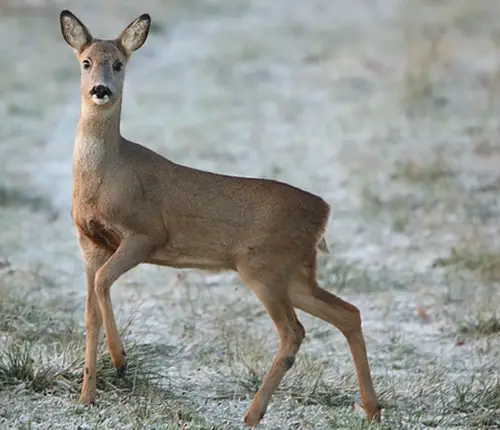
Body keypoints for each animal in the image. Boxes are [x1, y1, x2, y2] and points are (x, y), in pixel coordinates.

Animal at [58, 10, 378, 426]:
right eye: (85, 62)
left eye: (118, 64)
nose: (101, 90)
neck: (106, 173)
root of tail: (323, 212)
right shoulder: (90, 243)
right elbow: (90, 312)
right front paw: (86, 397)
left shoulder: (146, 233)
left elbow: (101, 284)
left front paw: (121, 359)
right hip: (293, 273)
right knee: (348, 313)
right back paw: (371, 410)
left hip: (263, 266)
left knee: (294, 331)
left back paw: (252, 414)